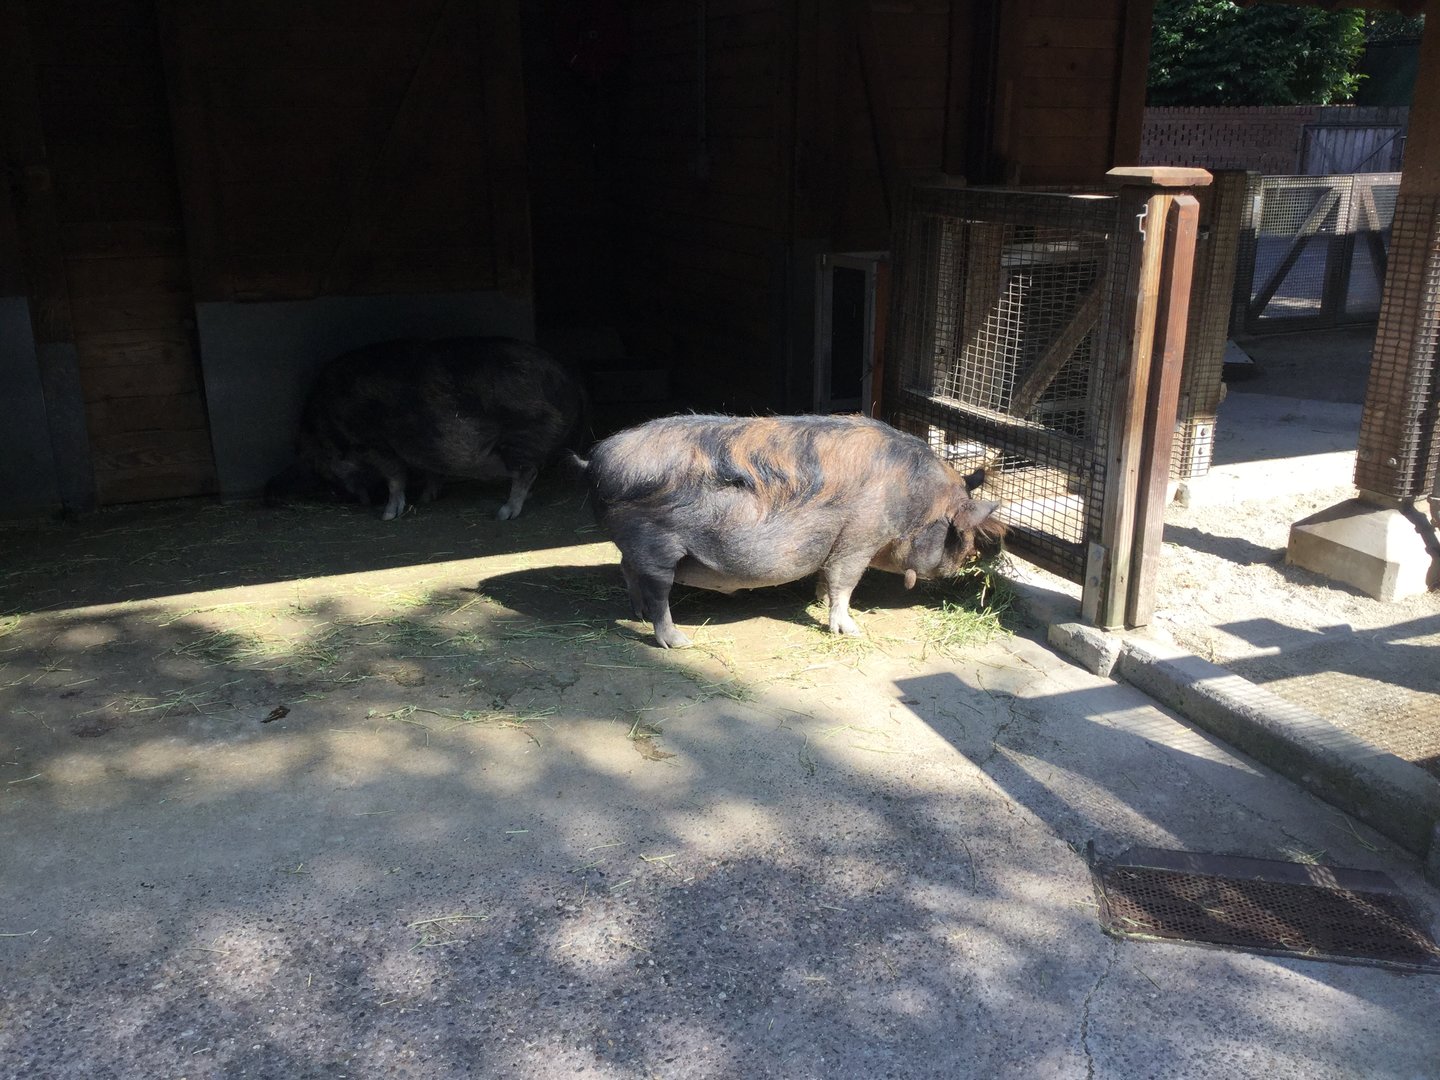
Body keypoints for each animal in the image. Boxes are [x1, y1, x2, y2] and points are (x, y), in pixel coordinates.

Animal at [265, 337, 587, 521]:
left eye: (323, 469)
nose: (346, 499)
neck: (329, 426)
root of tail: (567, 380)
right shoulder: (425, 449)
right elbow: (432, 471)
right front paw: (427, 498)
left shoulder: (377, 443)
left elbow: (395, 477)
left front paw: (388, 516)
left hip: (522, 434)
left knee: (525, 472)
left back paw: (504, 513)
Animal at [577, 414, 1002, 648]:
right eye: (959, 532)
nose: (962, 564)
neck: (916, 502)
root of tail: (595, 461)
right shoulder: (859, 538)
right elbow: (846, 582)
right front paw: (852, 631)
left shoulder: (837, 544)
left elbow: (827, 577)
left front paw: (817, 600)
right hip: (655, 546)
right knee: (658, 589)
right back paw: (678, 642)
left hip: (636, 548)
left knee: (626, 570)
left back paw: (636, 614)